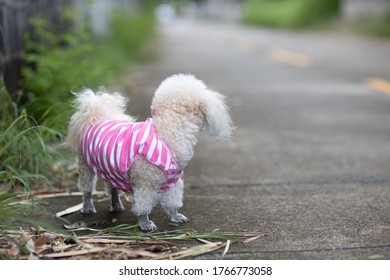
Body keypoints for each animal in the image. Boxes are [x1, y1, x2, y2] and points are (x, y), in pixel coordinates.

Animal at [66, 74, 233, 230]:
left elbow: (172, 202)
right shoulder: (145, 184)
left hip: (109, 168)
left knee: (112, 188)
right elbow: (143, 205)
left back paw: (116, 205)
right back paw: (87, 207)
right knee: (87, 188)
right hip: (85, 165)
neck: (167, 132)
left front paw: (175, 216)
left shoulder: (173, 181)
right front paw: (145, 223)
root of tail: (96, 116)